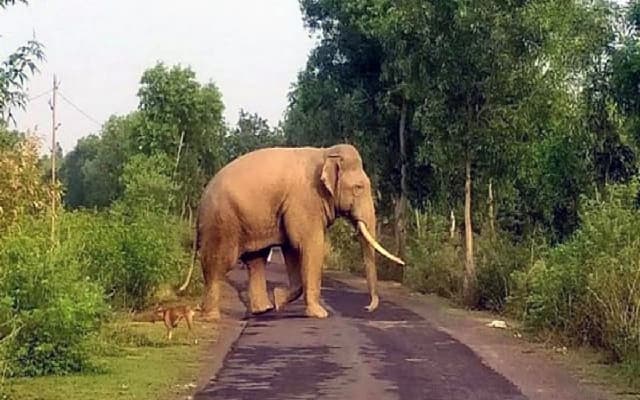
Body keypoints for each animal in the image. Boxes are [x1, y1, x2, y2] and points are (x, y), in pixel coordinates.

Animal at [179, 144, 404, 320]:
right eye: (358, 187)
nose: (367, 308)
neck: (326, 153)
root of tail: (201, 202)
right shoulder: (305, 200)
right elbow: (309, 245)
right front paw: (320, 314)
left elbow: (292, 249)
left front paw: (278, 299)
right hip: (222, 222)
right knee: (218, 263)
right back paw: (211, 316)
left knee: (256, 260)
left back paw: (264, 310)